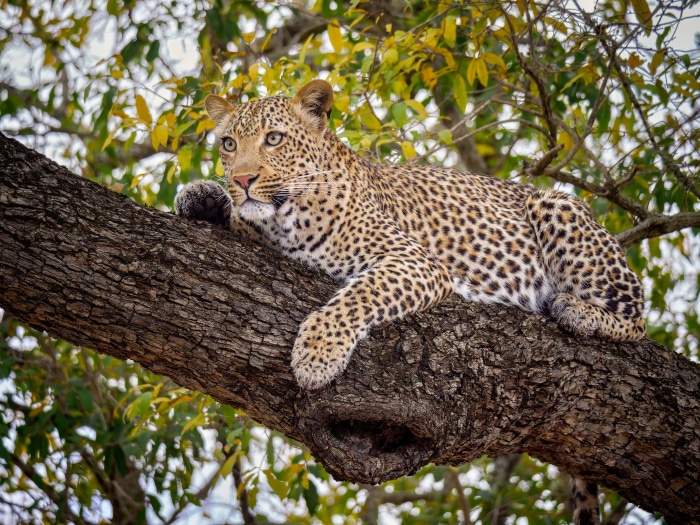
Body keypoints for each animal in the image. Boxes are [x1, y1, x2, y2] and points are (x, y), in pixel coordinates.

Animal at [175, 79, 646, 525]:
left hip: (557, 208)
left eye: (273, 139)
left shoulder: (415, 261)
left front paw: (317, 354)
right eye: (228, 144)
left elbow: (359, 294)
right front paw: (200, 196)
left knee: (637, 320)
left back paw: (577, 311)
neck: (285, 219)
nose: (242, 180)